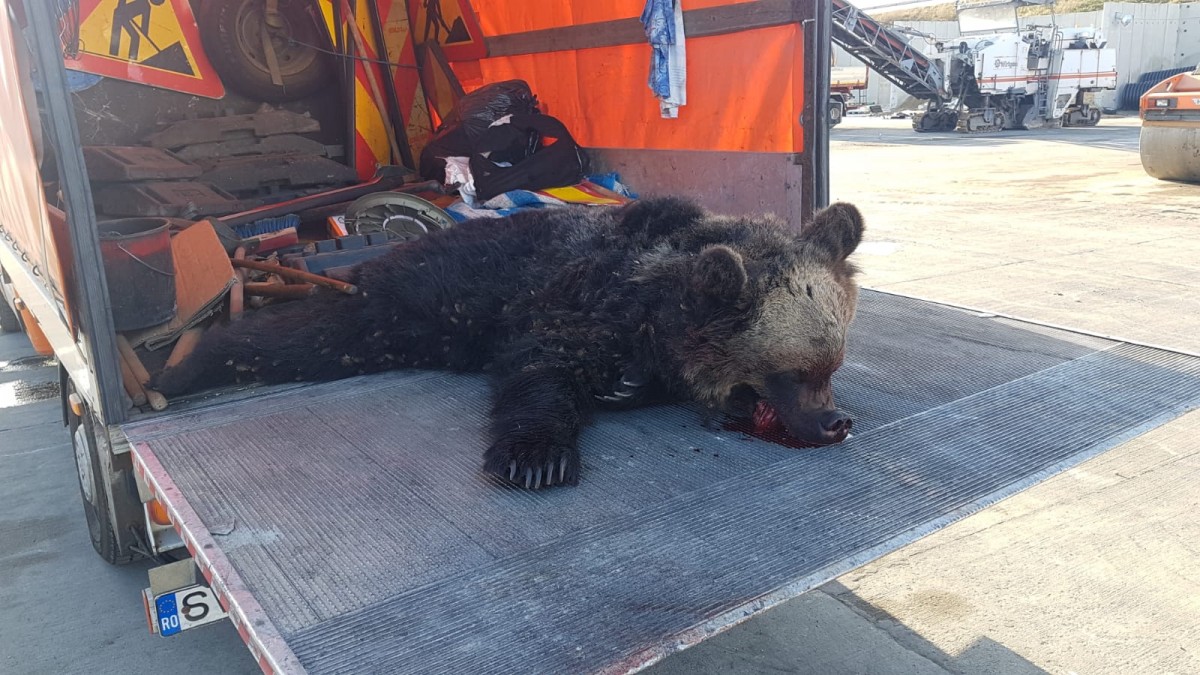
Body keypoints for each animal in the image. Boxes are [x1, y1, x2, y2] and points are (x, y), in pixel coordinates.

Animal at [152, 196, 864, 485]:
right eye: (794, 373)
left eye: (832, 367)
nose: (836, 422)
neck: (654, 297)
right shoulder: (570, 303)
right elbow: (538, 370)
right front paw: (536, 456)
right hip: (401, 307)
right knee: (305, 338)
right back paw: (183, 368)